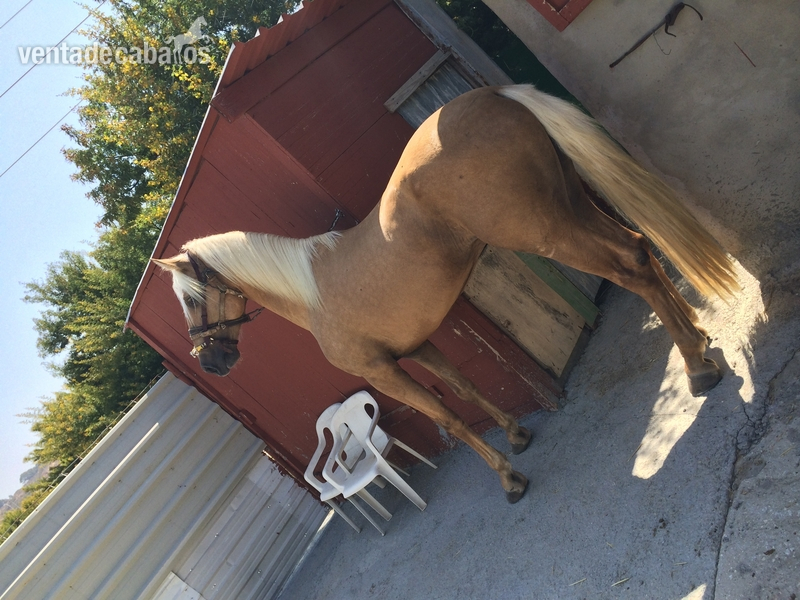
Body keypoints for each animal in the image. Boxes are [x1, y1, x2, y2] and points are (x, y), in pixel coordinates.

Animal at [153, 85, 738, 503]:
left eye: (190, 298)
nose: (210, 362)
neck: (313, 290)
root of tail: (497, 96)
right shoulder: (418, 348)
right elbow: (467, 389)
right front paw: (517, 436)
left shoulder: (384, 373)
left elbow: (448, 416)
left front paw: (509, 478)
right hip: (571, 203)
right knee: (639, 249)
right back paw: (701, 339)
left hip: (544, 229)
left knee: (629, 269)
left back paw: (696, 367)